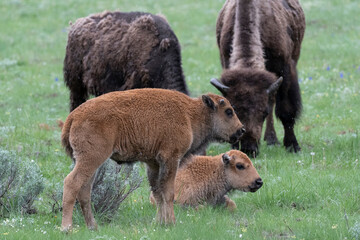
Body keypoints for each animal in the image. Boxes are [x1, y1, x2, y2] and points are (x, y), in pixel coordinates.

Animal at [60, 88, 245, 231]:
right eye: (228, 111)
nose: (241, 130)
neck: (190, 114)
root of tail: (73, 116)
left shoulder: (153, 163)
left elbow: (158, 193)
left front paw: (159, 223)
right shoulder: (171, 158)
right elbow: (168, 193)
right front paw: (171, 222)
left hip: (91, 163)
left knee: (85, 191)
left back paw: (93, 227)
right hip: (91, 159)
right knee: (71, 183)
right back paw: (67, 228)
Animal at [212, 0, 306, 157]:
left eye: (264, 113)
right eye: (234, 110)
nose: (249, 149)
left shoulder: (285, 70)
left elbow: (285, 110)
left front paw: (293, 146)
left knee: (274, 101)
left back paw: (272, 139)